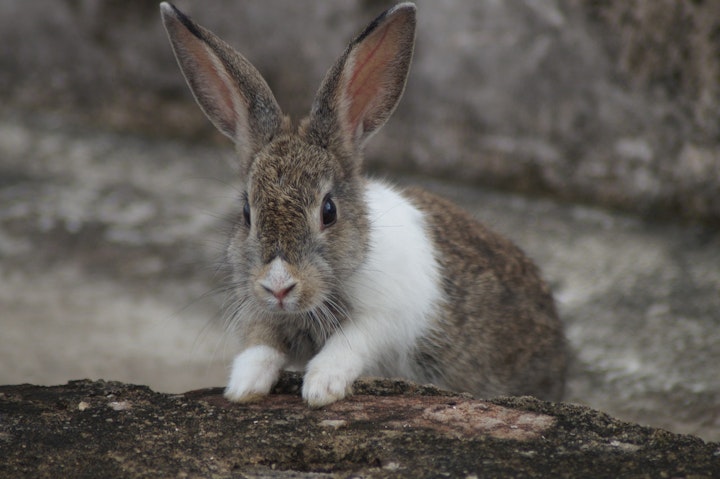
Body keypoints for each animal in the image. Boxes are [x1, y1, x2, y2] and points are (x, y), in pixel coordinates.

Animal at [159, 1, 568, 406]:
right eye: (247, 213)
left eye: (328, 212)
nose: (278, 287)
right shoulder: (259, 309)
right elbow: (261, 345)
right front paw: (244, 387)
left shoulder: (384, 317)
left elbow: (349, 343)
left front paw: (321, 388)